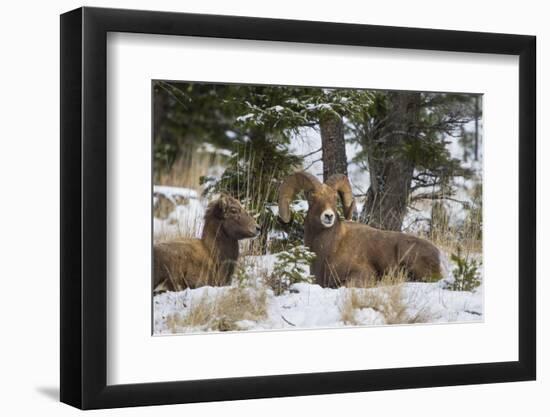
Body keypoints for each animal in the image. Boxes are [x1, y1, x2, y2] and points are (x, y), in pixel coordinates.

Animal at [280, 171, 444, 286]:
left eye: (335, 198)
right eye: (312, 197)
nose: (328, 216)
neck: (328, 249)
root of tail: (438, 256)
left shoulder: (363, 274)